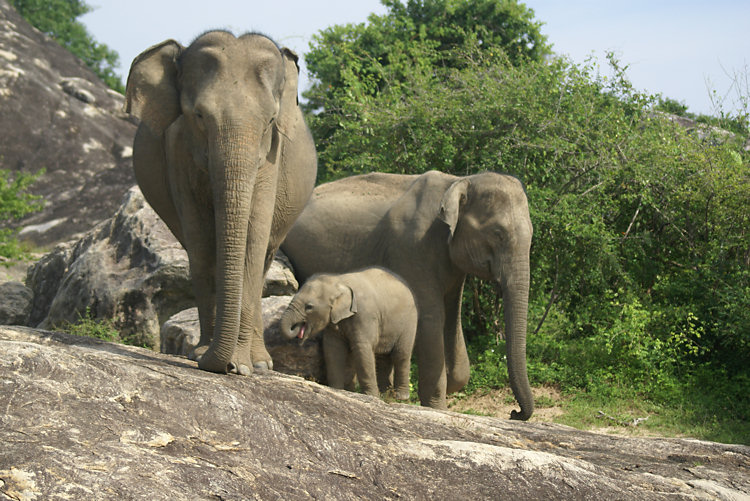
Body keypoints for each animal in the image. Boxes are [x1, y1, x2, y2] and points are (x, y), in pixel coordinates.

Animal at [125, 30, 318, 376]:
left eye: (270, 120)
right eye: (199, 116)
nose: (221, 364)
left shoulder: (272, 157)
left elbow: (253, 241)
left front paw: (241, 366)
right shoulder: (177, 149)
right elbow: (201, 241)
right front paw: (206, 357)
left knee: (265, 257)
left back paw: (261, 362)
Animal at [280, 266, 418, 398]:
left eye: (309, 307)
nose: (297, 331)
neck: (339, 281)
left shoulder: (365, 315)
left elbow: (362, 349)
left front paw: (371, 396)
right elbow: (333, 349)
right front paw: (337, 390)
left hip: (409, 322)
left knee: (400, 354)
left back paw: (400, 397)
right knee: (383, 358)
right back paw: (386, 395)